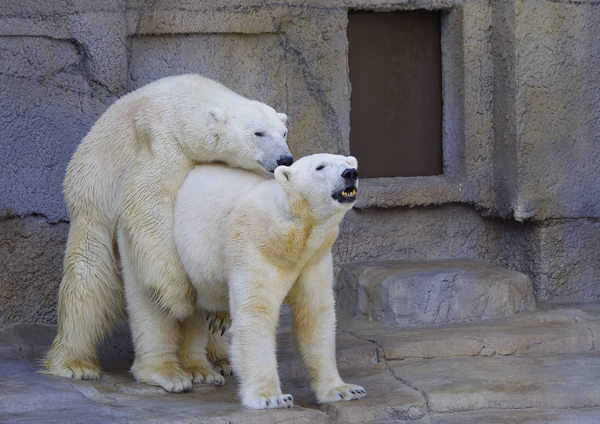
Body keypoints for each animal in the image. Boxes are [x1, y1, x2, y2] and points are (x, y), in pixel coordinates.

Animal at [42, 73, 292, 380]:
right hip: (93, 202)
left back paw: (219, 360)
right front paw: (178, 300)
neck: (187, 99)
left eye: (283, 133)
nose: (285, 159)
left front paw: (218, 316)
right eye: (258, 133)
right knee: (89, 279)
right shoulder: (159, 140)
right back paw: (74, 364)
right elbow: (148, 204)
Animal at [122, 153, 366, 408]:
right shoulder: (255, 246)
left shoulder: (313, 258)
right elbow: (256, 312)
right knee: (154, 303)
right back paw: (169, 372)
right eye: (320, 167)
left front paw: (344, 390)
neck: (290, 233)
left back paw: (201, 368)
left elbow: (314, 312)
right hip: (153, 245)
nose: (350, 173)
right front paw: (271, 398)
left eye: (348, 162)